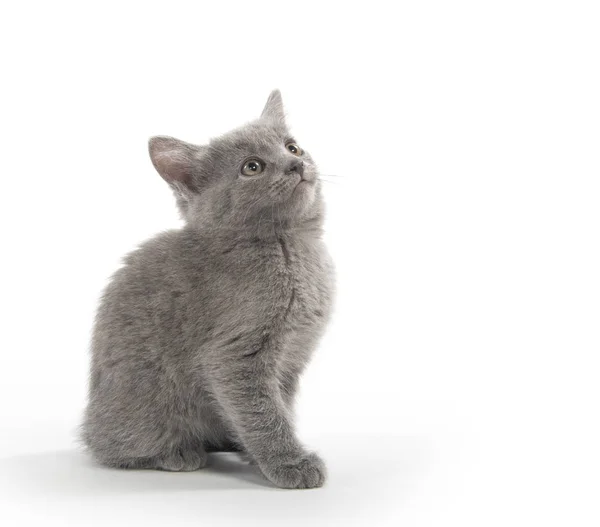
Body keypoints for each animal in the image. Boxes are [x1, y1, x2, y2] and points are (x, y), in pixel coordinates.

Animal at [82, 91, 336, 490]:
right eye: (252, 167)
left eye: (292, 147)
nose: (296, 164)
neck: (291, 246)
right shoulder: (235, 355)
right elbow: (264, 413)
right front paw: (290, 463)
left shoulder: (291, 362)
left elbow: (277, 406)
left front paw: (260, 457)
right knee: (111, 447)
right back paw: (176, 454)